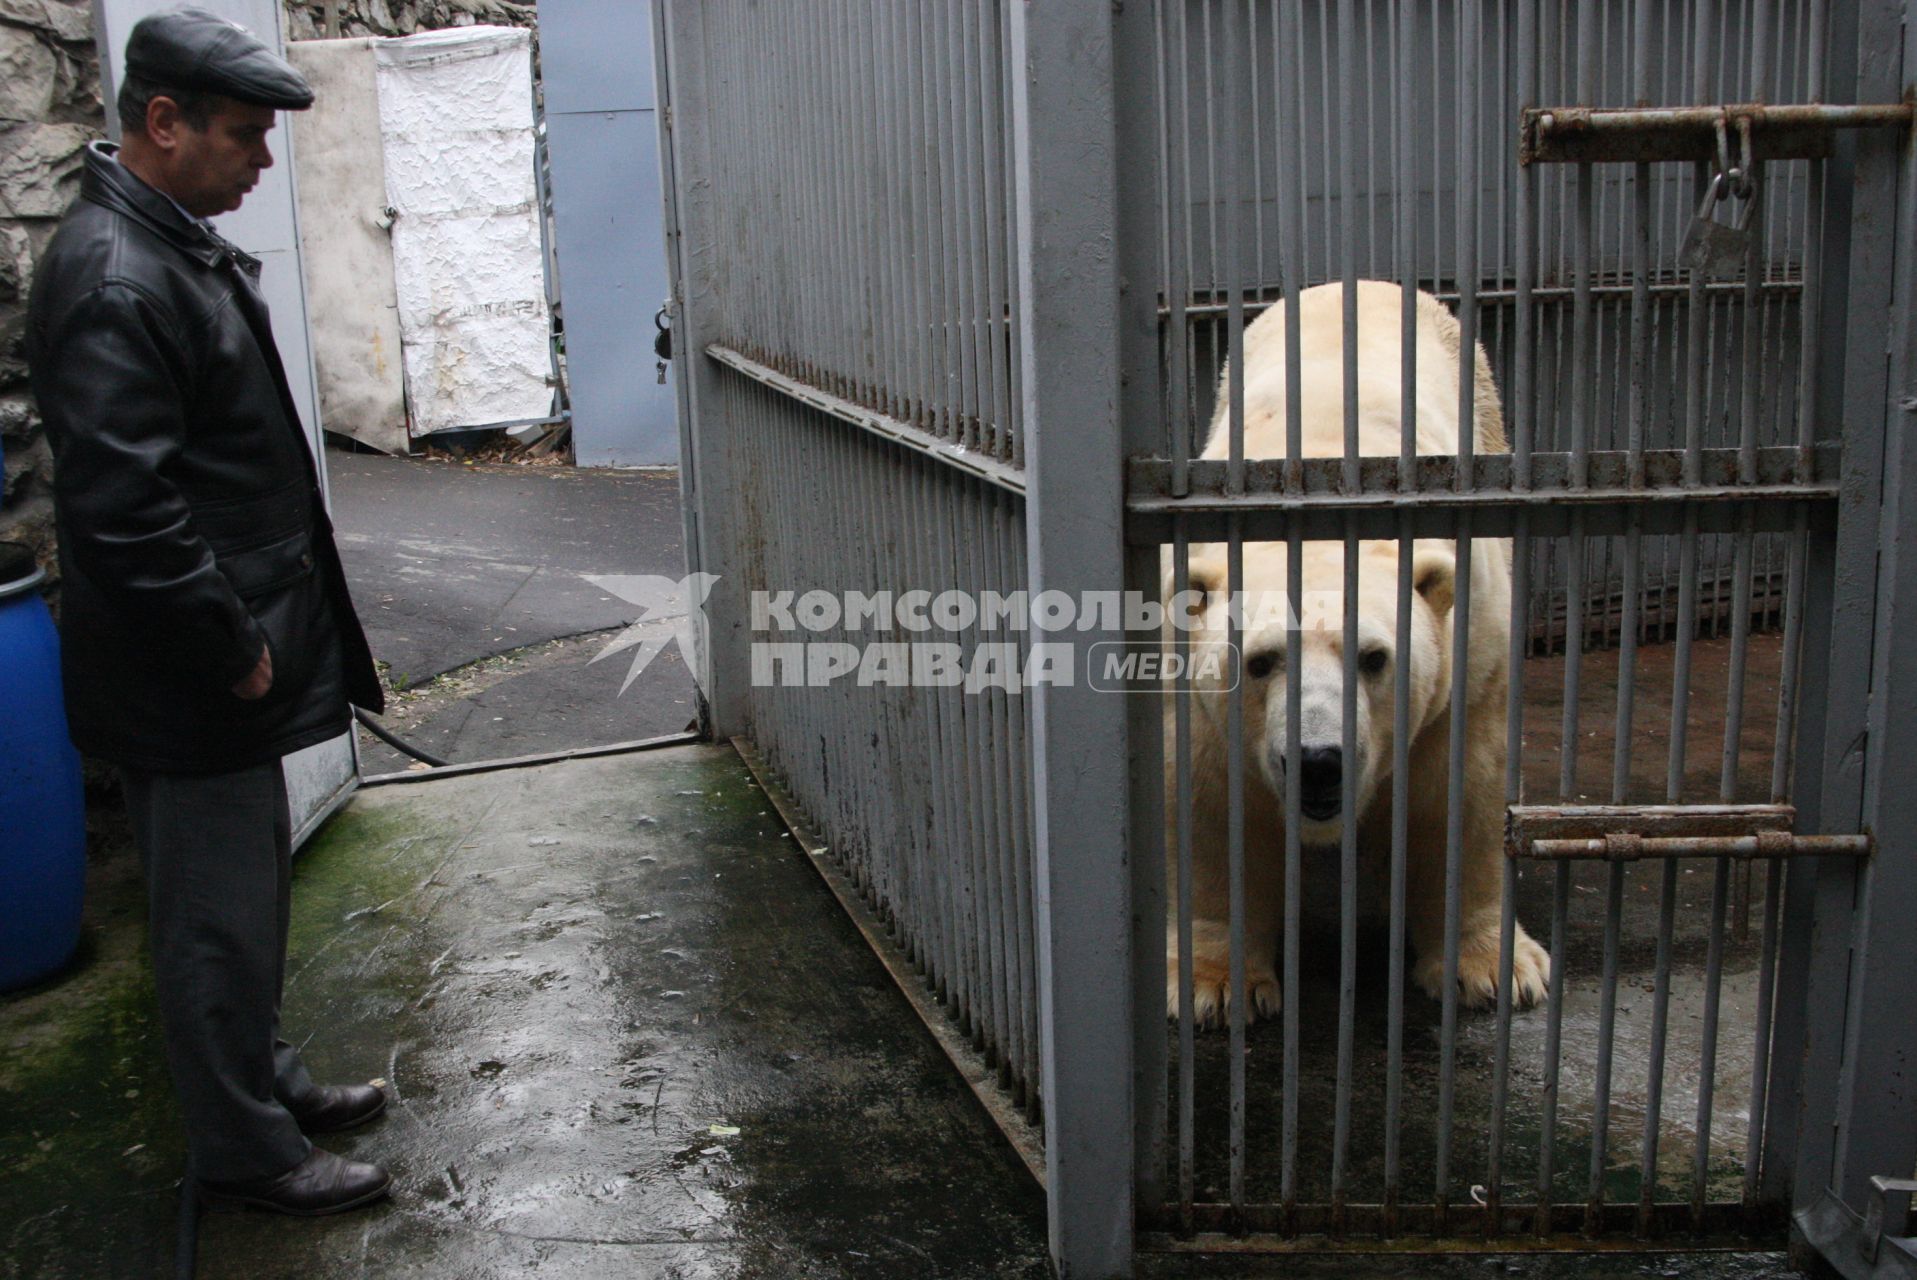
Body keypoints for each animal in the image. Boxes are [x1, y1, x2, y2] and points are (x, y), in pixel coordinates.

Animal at [1157, 281, 1548, 1027]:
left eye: (1373, 657)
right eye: (1259, 660)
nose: (1318, 762)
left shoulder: (1469, 654)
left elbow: (1462, 792)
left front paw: (1493, 970)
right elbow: (1212, 807)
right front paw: (1214, 984)